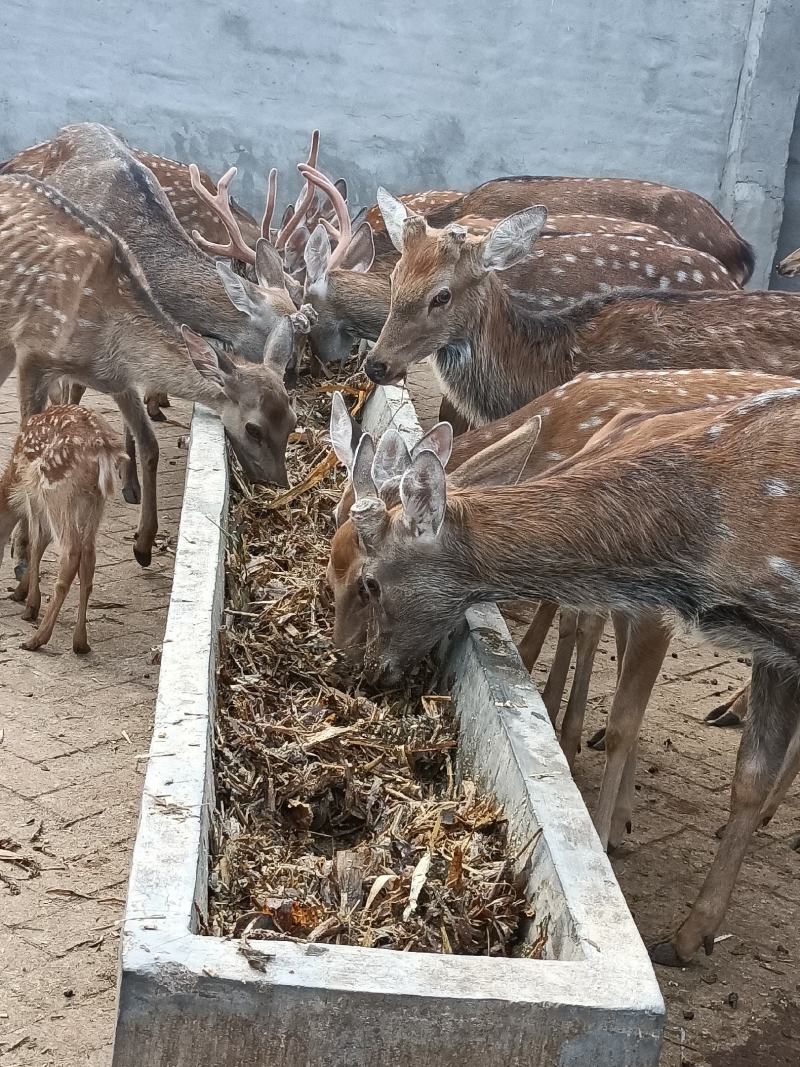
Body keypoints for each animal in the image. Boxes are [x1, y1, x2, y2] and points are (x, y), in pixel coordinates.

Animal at [0, 173, 297, 574]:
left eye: (293, 422)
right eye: (254, 428)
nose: (278, 484)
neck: (106, 335)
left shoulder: (117, 379)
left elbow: (149, 443)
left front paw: (143, 544)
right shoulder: (33, 352)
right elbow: (25, 451)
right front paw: (20, 554)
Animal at [0, 406, 127, 654]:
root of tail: (102, 448)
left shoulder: (33, 493)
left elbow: (35, 541)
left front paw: (30, 604)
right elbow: (40, 541)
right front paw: (21, 592)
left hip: (57, 489)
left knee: (71, 552)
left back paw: (37, 638)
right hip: (96, 499)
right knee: (88, 554)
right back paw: (80, 642)